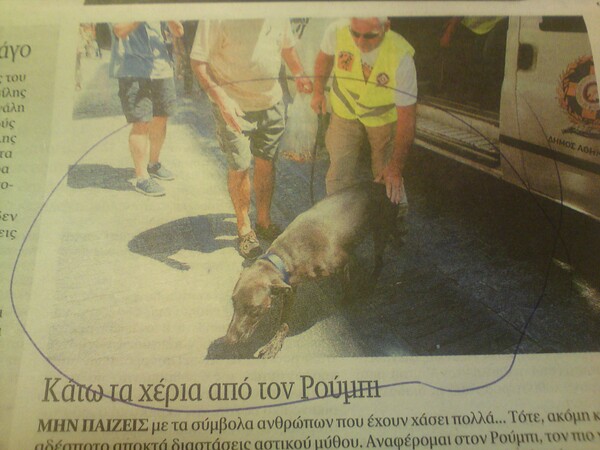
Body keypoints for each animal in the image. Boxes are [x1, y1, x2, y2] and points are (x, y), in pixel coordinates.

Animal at [225, 181, 398, 356]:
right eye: (233, 302)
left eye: (254, 309)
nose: (229, 340)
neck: (285, 255)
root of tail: (381, 184)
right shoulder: (290, 288)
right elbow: (284, 321)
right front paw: (275, 343)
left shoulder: (342, 263)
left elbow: (347, 288)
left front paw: (348, 300)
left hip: (381, 231)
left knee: (379, 261)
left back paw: (370, 284)